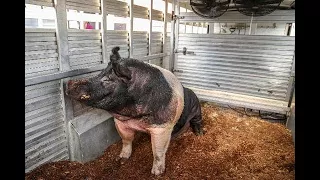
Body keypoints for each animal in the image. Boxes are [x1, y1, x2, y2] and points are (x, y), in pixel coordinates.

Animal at [66, 46, 204, 176]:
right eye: (99, 73)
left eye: (107, 80)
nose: (69, 82)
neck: (133, 116)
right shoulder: (120, 123)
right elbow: (126, 140)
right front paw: (122, 158)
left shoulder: (163, 126)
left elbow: (158, 152)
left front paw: (156, 173)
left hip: (196, 107)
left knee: (197, 120)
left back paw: (200, 134)